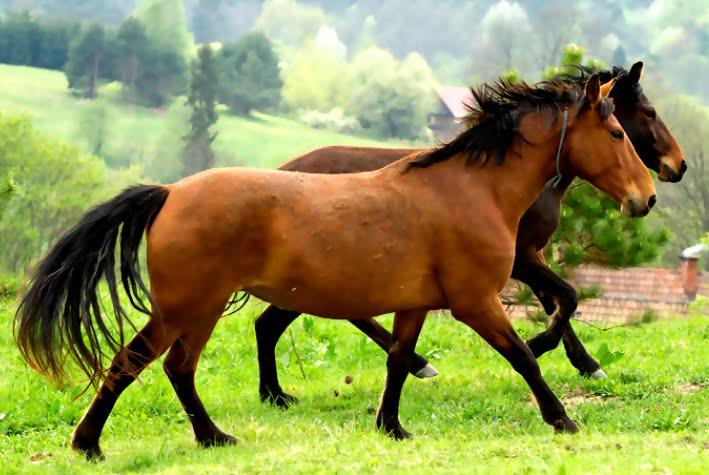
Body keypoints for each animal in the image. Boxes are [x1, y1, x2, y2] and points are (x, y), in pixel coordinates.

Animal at [15, 75, 657, 458]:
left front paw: (391, 426)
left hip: (199, 310)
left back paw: (206, 435)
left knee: (175, 367)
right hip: (189, 306)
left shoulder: (416, 303)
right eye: (619, 130)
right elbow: (523, 354)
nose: (647, 197)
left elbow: (398, 360)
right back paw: (98, 443)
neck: (470, 190)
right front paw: (562, 418)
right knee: (138, 363)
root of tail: (170, 192)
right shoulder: (476, 301)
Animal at [253, 62, 686, 407]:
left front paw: (573, 359)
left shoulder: (526, 259)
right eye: (647, 113)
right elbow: (566, 298)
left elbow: (559, 302)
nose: (677, 166)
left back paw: (277, 393)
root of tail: (280, 171)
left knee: (273, 323)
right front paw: (559, 354)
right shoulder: (523, 258)